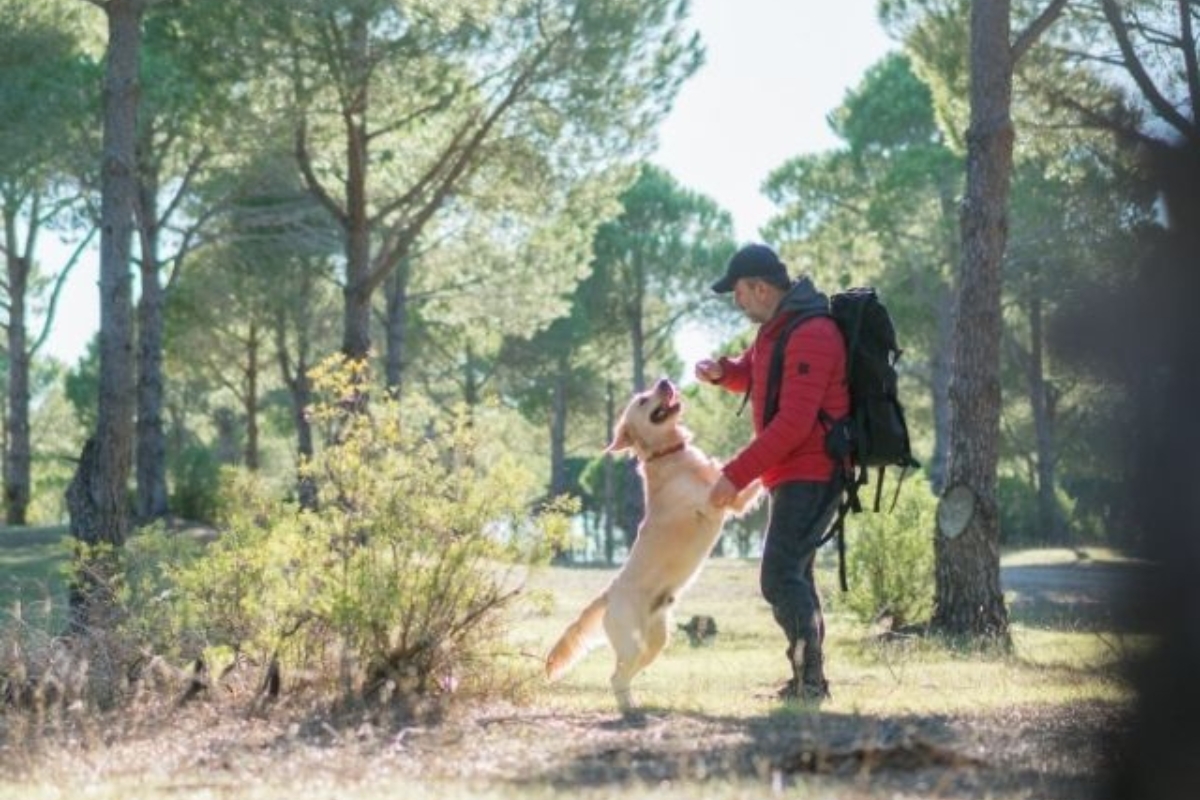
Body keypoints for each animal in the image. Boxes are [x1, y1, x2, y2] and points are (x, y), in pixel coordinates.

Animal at [547, 379, 758, 710]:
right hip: (632, 643)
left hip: (656, 642)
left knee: (627, 674)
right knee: (615, 677)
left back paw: (635, 704)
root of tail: (608, 593)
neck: (669, 454)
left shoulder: (732, 500)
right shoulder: (718, 501)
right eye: (644, 400)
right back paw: (629, 710)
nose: (665, 381)